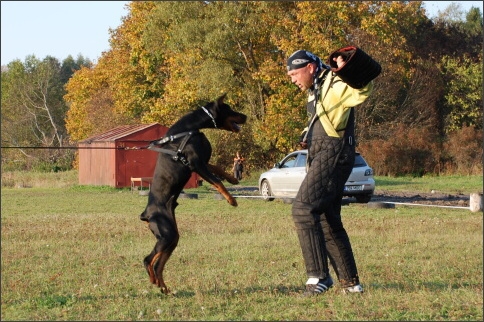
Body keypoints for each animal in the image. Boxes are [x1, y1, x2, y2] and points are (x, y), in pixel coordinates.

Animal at [139, 93, 246, 294]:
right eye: (230, 109)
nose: (246, 117)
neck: (189, 128)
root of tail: (146, 214)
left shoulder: (202, 161)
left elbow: (218, 169)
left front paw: (233, 179)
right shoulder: (196, 163)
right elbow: (217, 181)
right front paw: (231, 200)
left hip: (172, 236)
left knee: (159, 264)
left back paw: (162, 286)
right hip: (167, 233)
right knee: (148, 260)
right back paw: (154, 280)